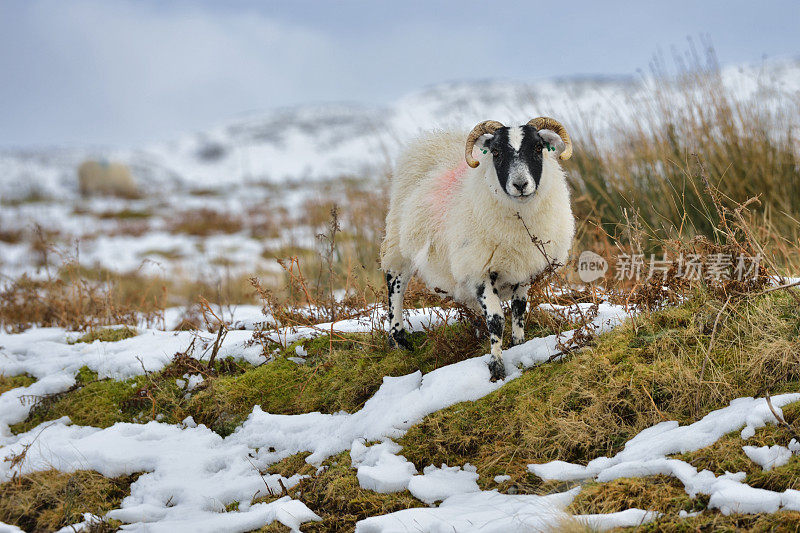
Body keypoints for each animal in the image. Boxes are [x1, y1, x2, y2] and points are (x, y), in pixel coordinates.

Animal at [382, 118, 576, 380]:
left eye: (538, 148)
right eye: (496, 152)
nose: (520, 185)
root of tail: (432, 140)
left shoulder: (524, 269)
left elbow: (518, 310)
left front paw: (519, 344)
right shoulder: (479, 270)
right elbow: (496, 320)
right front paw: (496, 366)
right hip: (398, 244)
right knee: (395, 284)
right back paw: (398, 339)